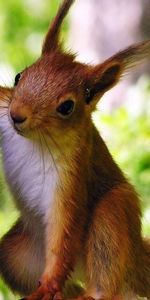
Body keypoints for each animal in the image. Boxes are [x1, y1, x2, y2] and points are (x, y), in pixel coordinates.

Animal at [0, 0, 149, 300]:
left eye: (66, 107)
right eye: (19, 76)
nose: (16, 115)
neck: (33, 140)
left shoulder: (71, 176)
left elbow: (64, 232)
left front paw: (48, 284)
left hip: (114, 212)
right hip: (16, 256)